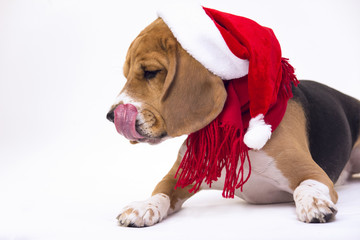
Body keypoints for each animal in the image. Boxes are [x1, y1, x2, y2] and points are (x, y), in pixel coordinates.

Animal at [106, 17, 360, 227]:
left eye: (151, 72)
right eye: (126, 75)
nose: (110, 116)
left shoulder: (312, 172)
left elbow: (306, 187)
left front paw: (314, 203)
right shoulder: (178, 177)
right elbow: (160, 191)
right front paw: (144, 206)